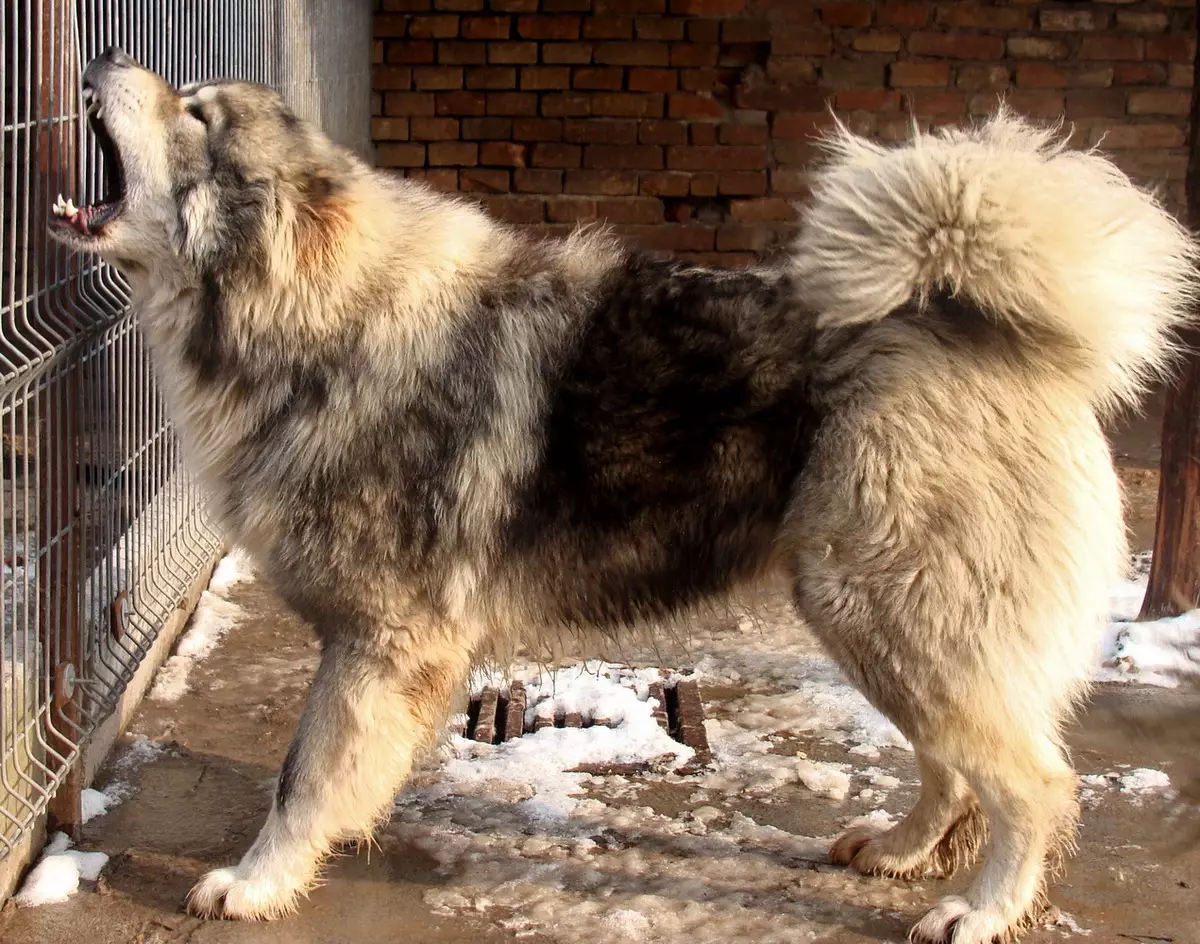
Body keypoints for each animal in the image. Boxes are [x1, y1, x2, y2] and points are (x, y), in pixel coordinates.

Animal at [51, 49, 1195, 944]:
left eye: (197, 115)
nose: (101, 51)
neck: (320, 318)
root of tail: (975, 323)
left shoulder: (379, 643)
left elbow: (302, 777)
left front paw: (255, 881)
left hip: (891, 611)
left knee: (1034, 783)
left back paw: (983, 906)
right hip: (880, 623)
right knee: (955, 765)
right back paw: (901, 848)